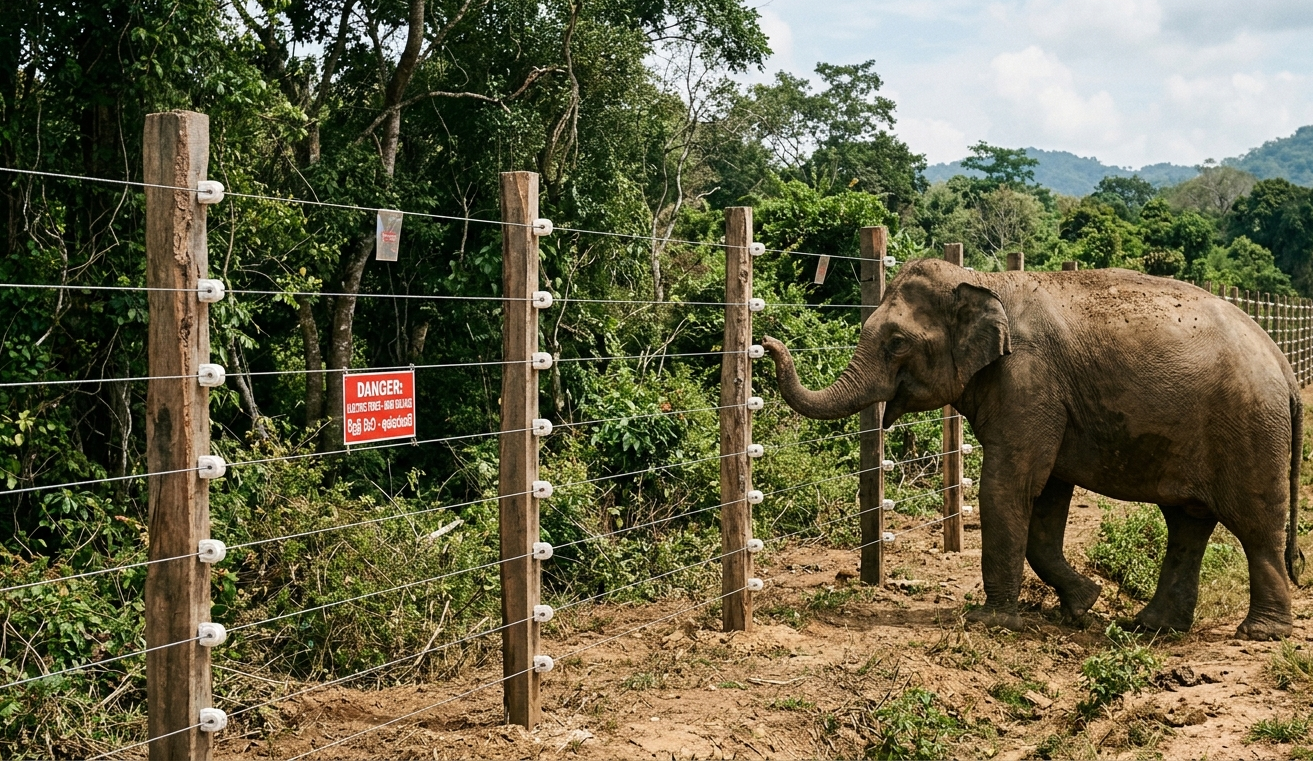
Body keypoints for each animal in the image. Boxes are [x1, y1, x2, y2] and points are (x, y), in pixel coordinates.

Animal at [761, 258, 1303, 640]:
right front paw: (1083, 604)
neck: (982, 280)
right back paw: (1149, 627)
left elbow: (1010, 485)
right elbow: (1046, 498)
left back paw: (1260, 633)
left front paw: (989, 622)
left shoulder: (1028, 380)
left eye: (896, 342)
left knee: (1255, 524)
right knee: (1187, 524)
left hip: (1250, 427)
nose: (766, 342)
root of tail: (1281, 362)